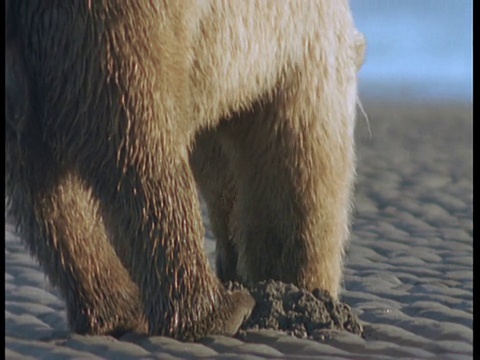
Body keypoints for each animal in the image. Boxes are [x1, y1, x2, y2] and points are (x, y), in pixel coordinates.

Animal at [4, 0, 364, 342]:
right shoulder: (301, 46)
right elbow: (300, 165)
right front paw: (301, 287)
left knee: (40, 185)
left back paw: (119, 309)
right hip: (118, 22)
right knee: (141, 138)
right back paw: (218, 310)